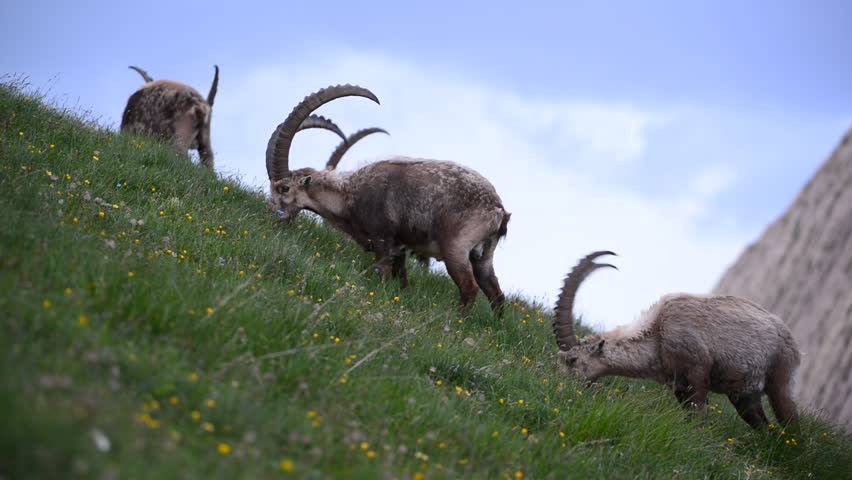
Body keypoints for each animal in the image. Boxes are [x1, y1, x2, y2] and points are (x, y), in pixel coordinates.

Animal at [267, 85, 510, 315]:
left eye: (284, 188)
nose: (273, 215)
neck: (349, 196)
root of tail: (499, 211)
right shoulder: (399, 247)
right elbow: (402, 279)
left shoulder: (382, 239)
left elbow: (383, 272)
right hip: (484, 256)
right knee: (495, 293)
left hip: (456, 247)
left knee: (470, 288)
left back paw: (456, 321)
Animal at [552, 251, 801, 430]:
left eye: (573, 360)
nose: (563, 388)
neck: (658, 332)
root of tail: (792, 342)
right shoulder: (679, 385)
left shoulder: (698, 371)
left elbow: (698, 413)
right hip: (744, 395)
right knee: (763, 426)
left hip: (779, 378)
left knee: (791, 422)